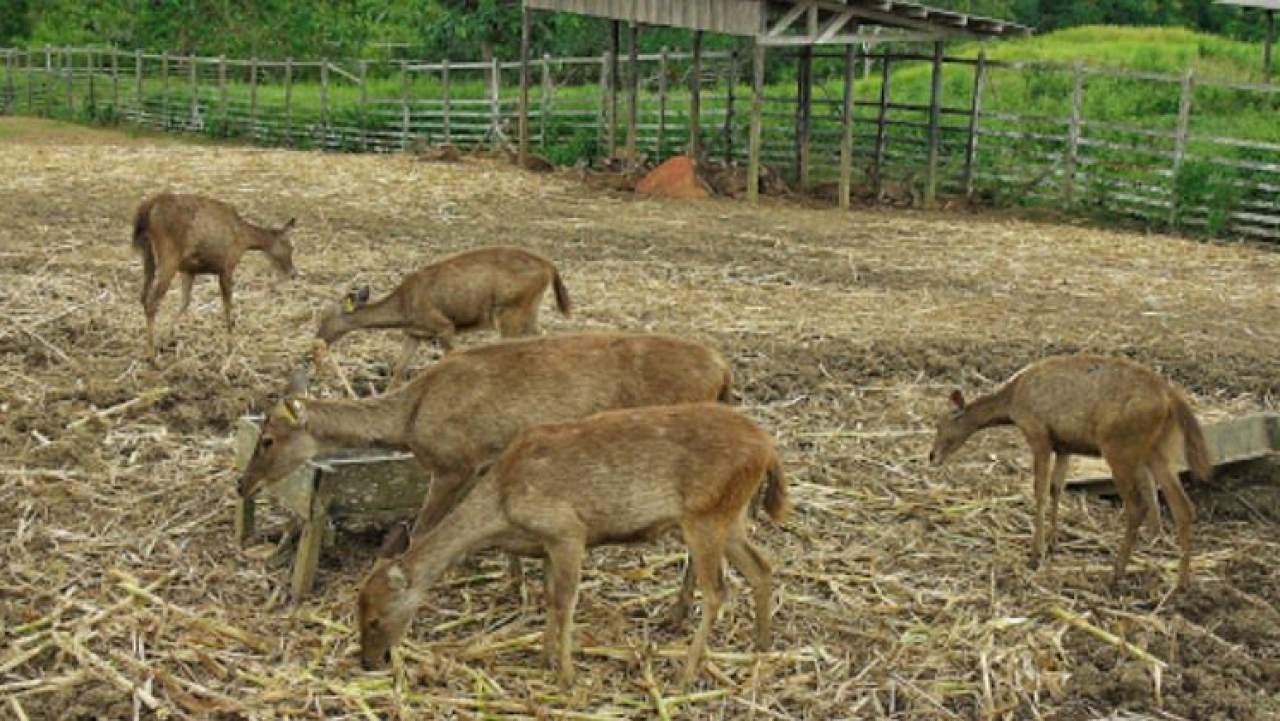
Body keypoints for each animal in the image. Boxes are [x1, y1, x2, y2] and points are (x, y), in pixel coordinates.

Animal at [131, 193, 296, 363]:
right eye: (291, 247)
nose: (293, 273)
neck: (244, 240)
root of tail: (146, 210)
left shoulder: (189, 269)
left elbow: (185, 302)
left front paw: (165, 340)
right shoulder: (226, 267)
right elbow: (227, 306)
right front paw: (230, 347)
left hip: (148, 255)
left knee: (143, 297)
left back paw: (150, 349)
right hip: (169, 256)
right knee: (152, 302)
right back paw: (151, 357)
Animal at [314, 245, 570, 384]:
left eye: (324, 317)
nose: (318, 340)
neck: (404, 308)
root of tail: (551, 267)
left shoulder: (444, 325)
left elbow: (451, 359)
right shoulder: (415, 333)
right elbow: (398, 369)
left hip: (511, 312)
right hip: (528, 310)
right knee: (541, 335)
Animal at [355, 404, 783, 691]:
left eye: (375, 619)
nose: (368, 661)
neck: (504, 506)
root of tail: (768, 446)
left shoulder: (567, 530)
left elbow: (565, 602)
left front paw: (567, 675)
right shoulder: (546, 544)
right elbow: (549, 597)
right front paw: (545, 658)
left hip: (705, 515)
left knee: (718, 591)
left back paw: (685, 674)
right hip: (731, 516)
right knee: (762, 567)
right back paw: (761, 647)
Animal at [931, 353, 1208, 589]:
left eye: (940, 423)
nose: (932, 456)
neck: (1011, 404)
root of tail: (1171, 398)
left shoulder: (1039, 435)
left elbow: (1040, 491)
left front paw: (1036, 553)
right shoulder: (1064, 446)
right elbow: (1057, 488)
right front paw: (1053, 542)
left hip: (1119, 448)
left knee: (1136, 506)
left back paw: (1116, 573)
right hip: (1159, 449)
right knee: (1183, 507)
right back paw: (1181, 583)